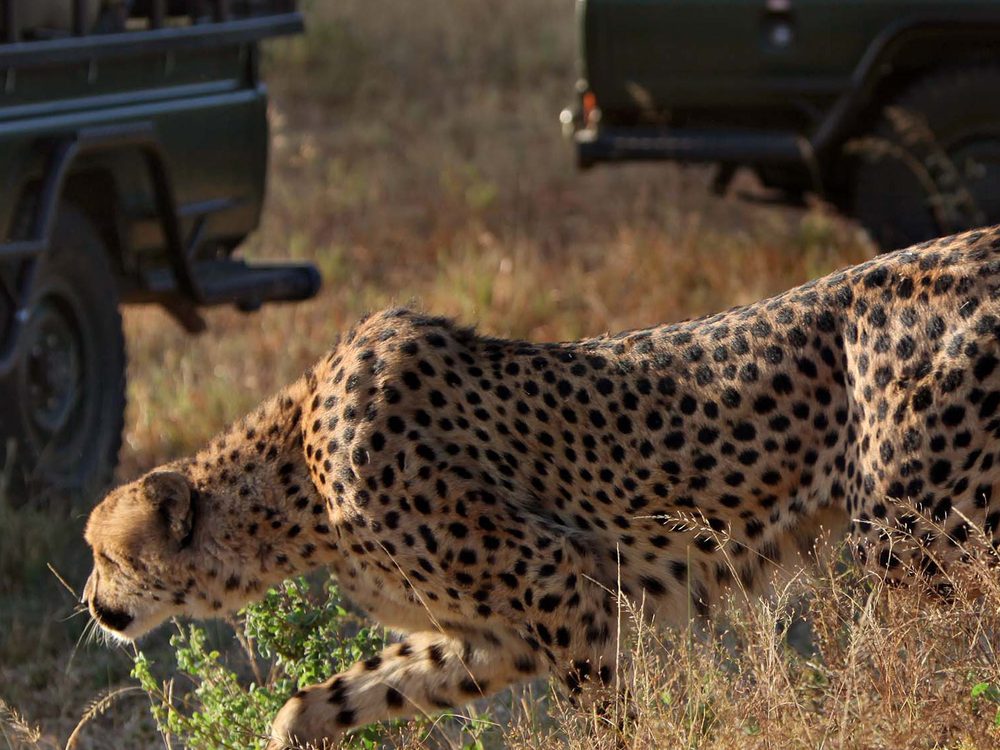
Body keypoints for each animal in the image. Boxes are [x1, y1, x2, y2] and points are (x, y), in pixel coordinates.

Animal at [83, 225, 1000, 749]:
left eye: (104, 555)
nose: (92, 604)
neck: (300, 474)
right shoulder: (492, 636)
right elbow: (335, 695)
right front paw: (290, 735)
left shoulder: (559, 585)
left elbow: (602, 719)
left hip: (912, 539)